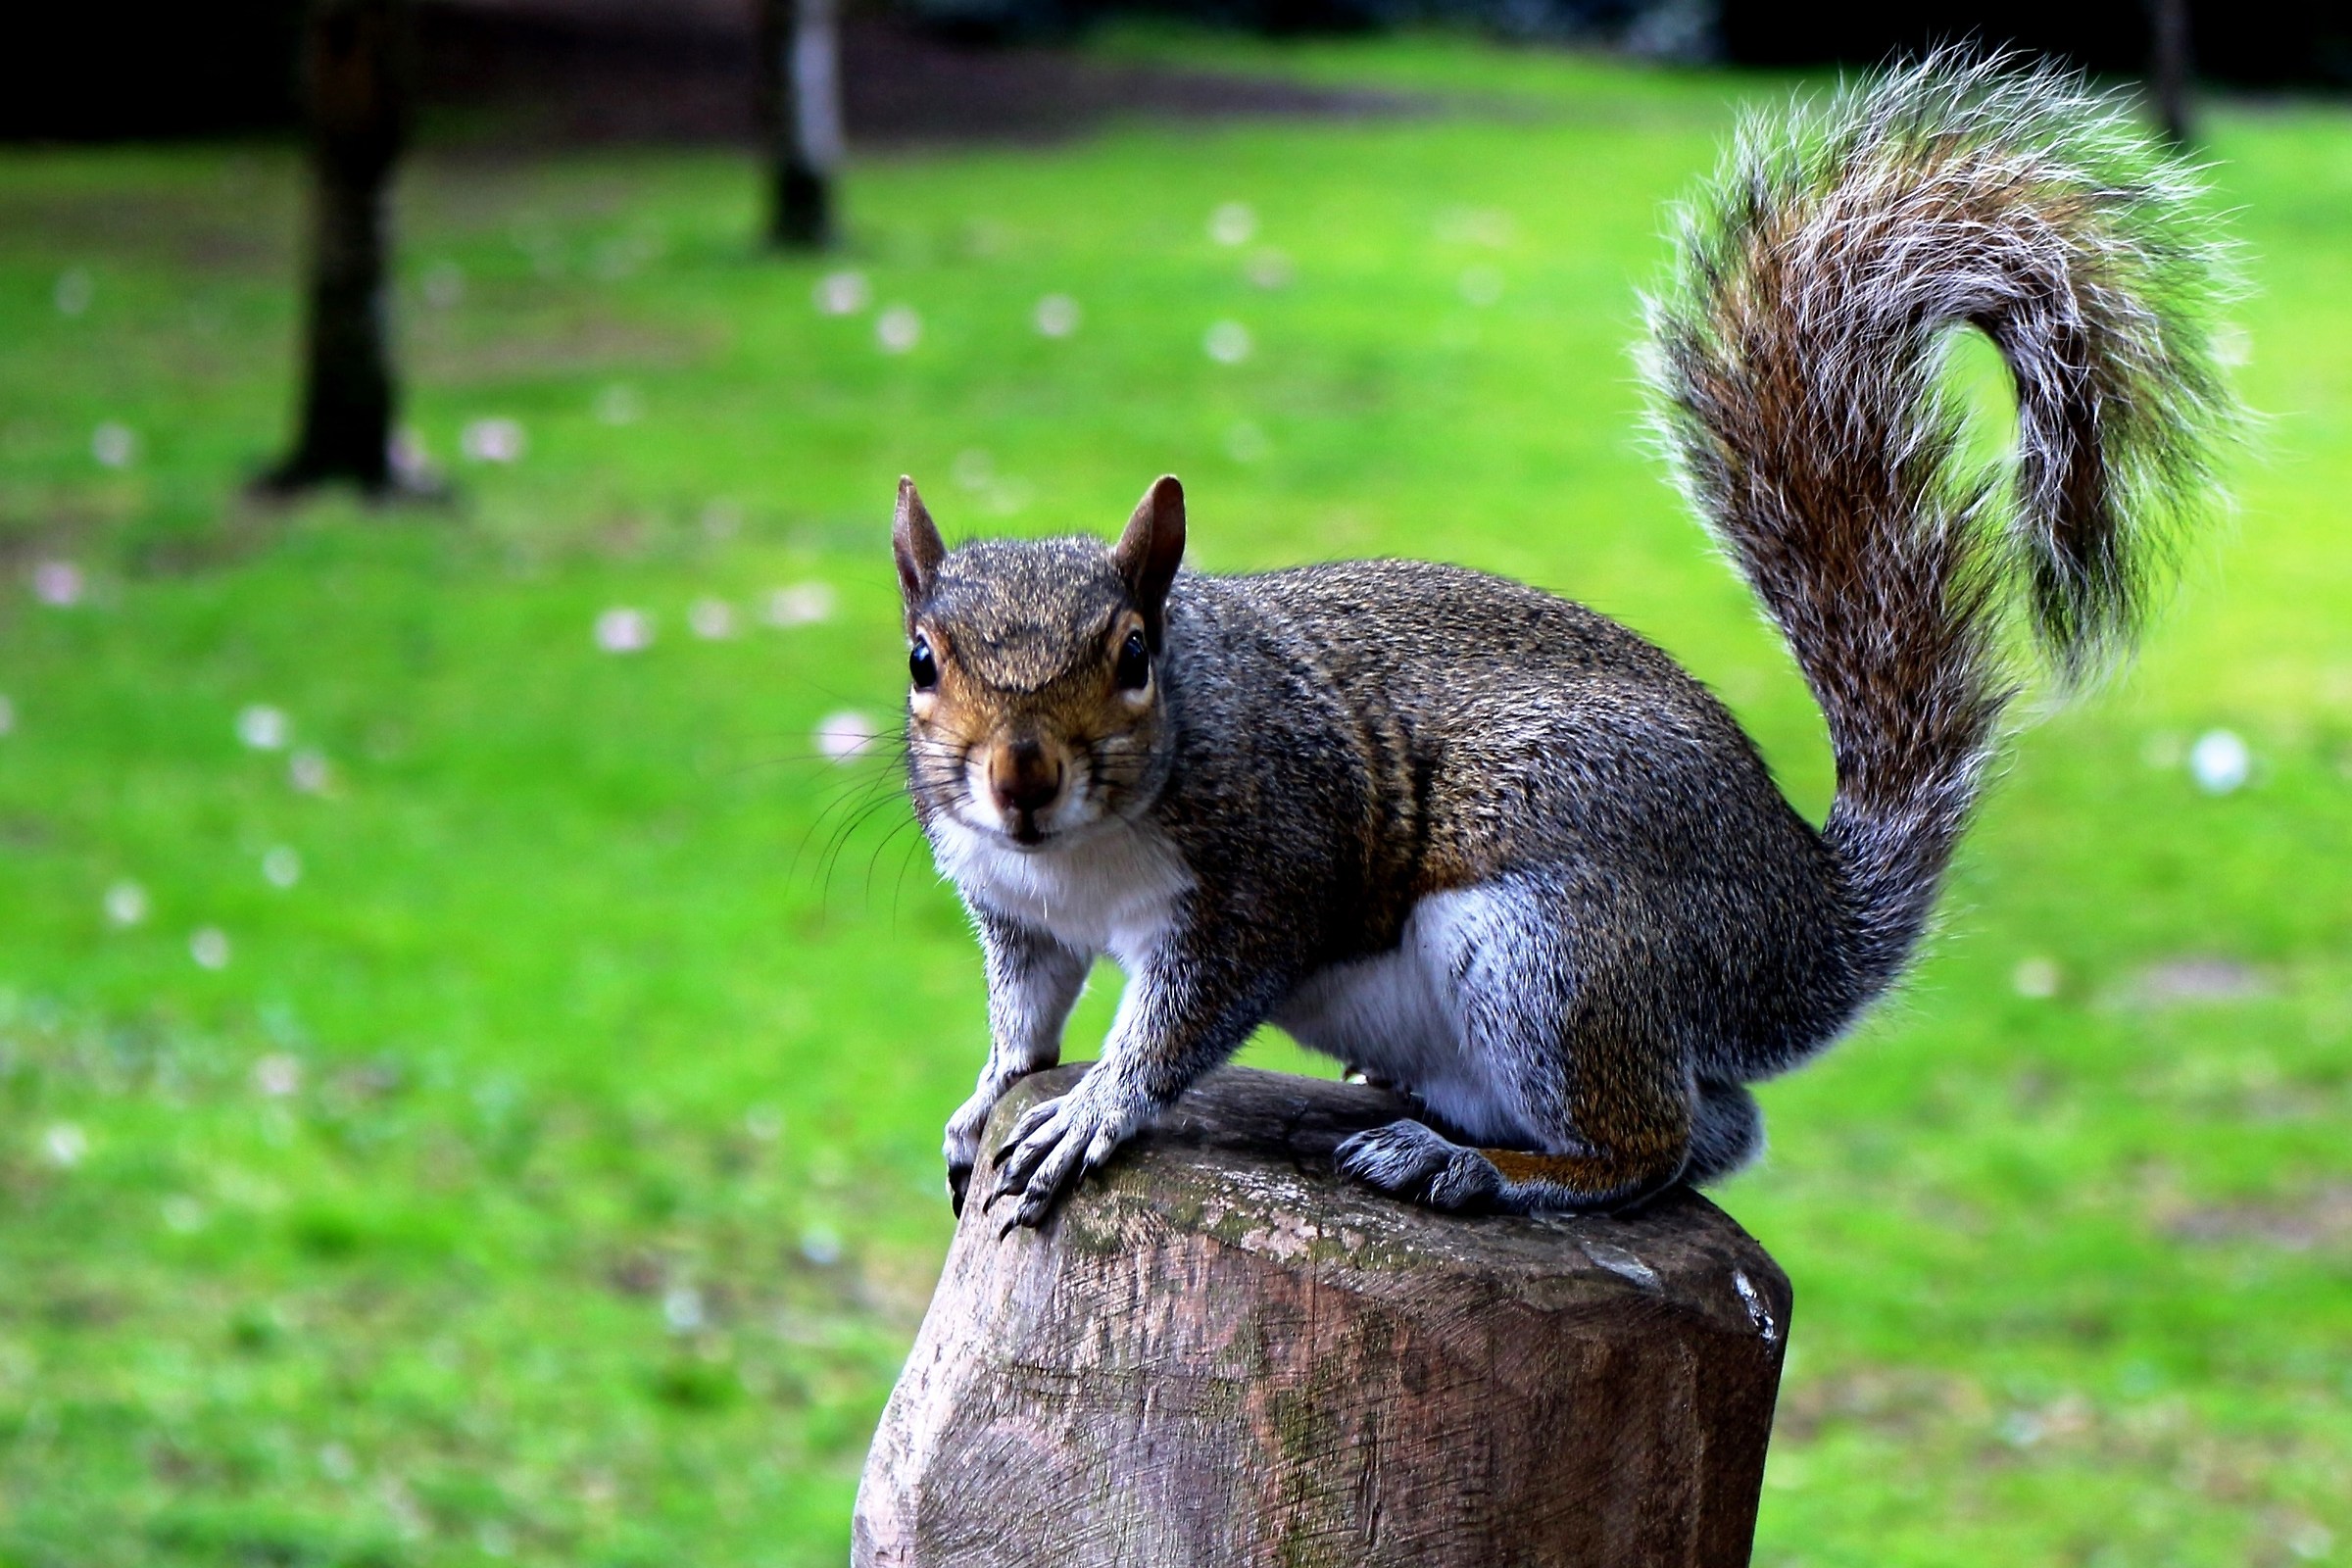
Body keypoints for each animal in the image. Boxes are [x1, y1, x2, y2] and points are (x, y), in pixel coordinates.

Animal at [890, 54, 2237, 1229]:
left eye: (1133, 657)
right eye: (921, 660)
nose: (1020, 778)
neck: (1078, 850)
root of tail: (1809, 933)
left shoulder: (1266, 871)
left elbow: (1177, 1023)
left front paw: (1092, 1113)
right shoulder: (1013, 913)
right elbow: (1026, 1019)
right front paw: (982, 1101)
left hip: (1553, 950)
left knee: (1652, 1144)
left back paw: (1473, 1166)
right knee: (1723, 1128)